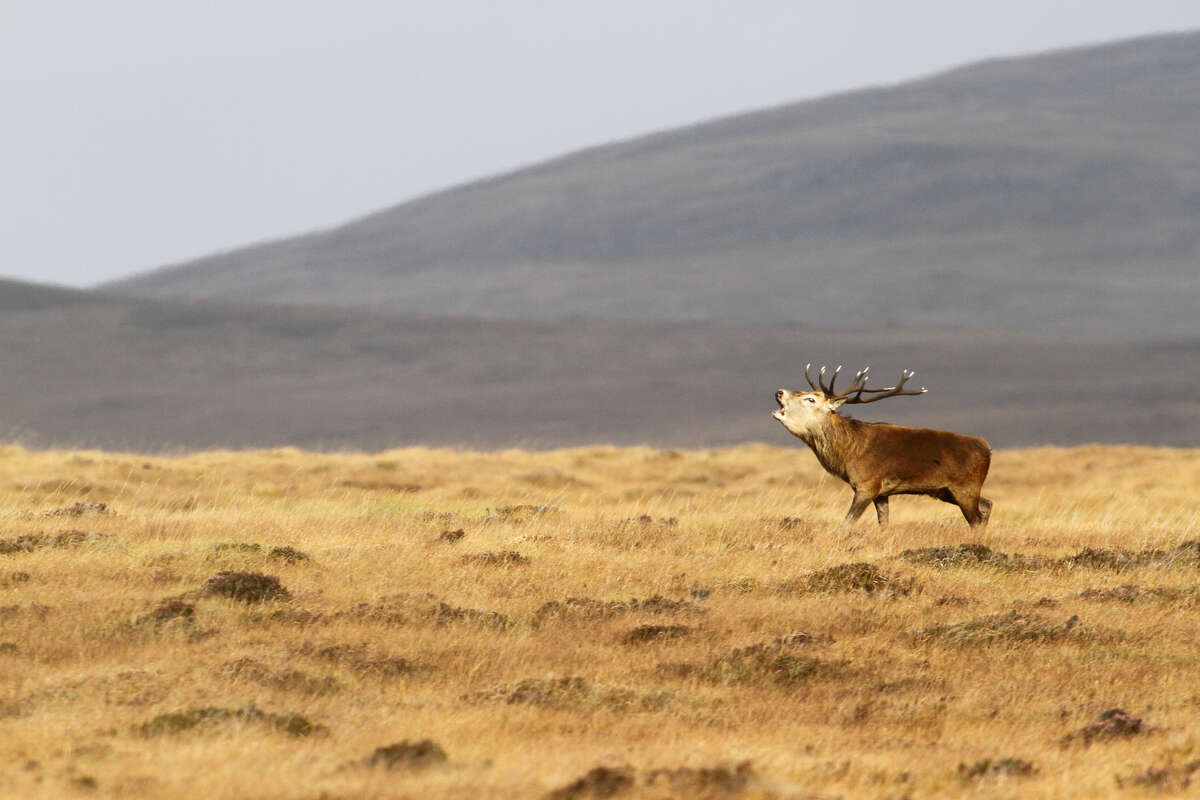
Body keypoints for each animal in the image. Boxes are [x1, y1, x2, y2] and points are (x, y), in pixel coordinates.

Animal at [772, 365, 992, 529]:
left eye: (810, 399)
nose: (779, 392)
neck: (847, 455)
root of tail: (986, 448)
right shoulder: (882, 493)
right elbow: (884, 524)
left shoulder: (867, 484)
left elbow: (847, 523)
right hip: (946, 491)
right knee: (987, 504)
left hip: (966, 486)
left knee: (976, 519)